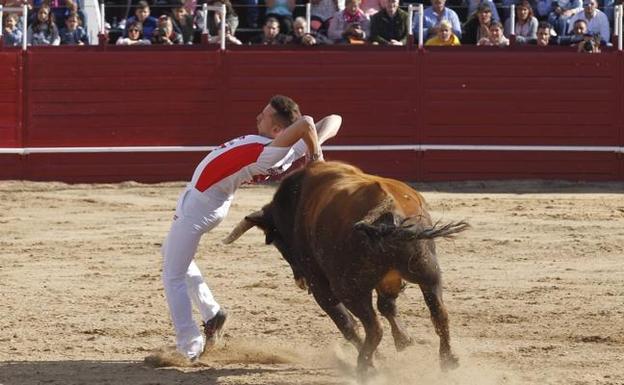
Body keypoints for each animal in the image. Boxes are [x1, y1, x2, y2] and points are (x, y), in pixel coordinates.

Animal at [223, 160, 468, 374]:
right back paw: (448, 360)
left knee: (371, 326)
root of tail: (384, 210)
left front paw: (384, 354)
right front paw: (404, 340)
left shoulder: (320, 285)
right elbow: (387, 306)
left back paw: (365, 367)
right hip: (428, 272)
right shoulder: (388, 279)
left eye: (278, 242)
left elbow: (347, 323)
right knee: (439, 313)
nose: (300, 281)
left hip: (348, 287)